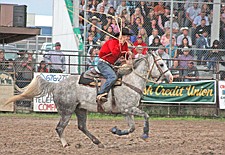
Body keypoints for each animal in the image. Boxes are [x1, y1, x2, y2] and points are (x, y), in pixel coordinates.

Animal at [5, 53, 174, 148]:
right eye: (161, 64)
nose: (171, 77)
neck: (130, 81)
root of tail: (56, 84)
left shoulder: (127, 111)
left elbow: (131, 128)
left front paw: (116, 130)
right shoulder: (128, 109)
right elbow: (146, 115)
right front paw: (145, 134)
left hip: (81, 109)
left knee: (82, 126)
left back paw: (98, 142)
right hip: (67, 111)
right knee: (60, 128)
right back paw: (66, 144)